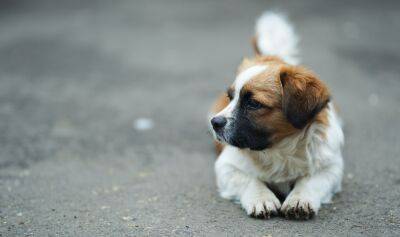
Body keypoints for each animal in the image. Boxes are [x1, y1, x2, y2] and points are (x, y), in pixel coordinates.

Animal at [209, 12, 344, 219]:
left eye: (253, 104)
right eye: (230, 98)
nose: (215, 123)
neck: (278, 149)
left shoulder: (332, 167)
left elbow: (311, 180)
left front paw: (299, 198)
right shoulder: (226, 166)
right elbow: (249, 180)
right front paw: (262, 198)